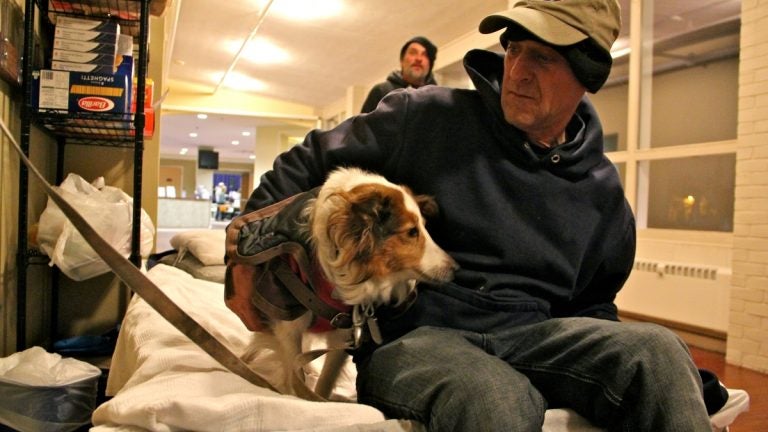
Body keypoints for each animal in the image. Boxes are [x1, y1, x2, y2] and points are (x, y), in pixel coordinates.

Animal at [242, 168, 456, 398]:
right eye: (412, 232)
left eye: (424, 228)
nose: (456, 269)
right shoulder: (289, 325)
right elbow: (294, 373)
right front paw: (297, 396)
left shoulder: (346, 332)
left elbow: (326, 379)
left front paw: (316, 397)